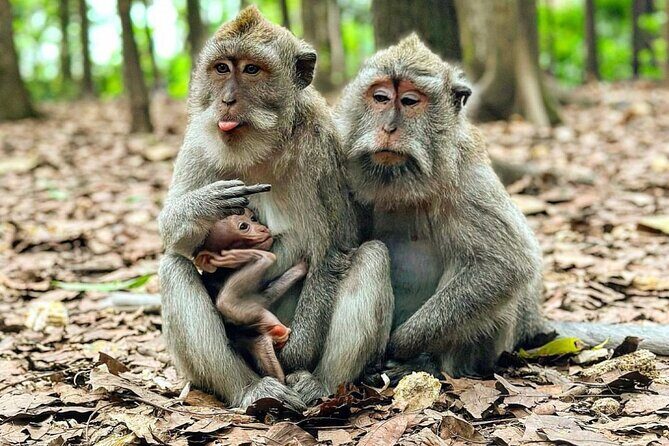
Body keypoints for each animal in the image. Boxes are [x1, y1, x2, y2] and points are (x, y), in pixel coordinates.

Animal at [193, 208, 308, 384]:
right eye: (243, 226)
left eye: (253, 218)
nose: (262, 228)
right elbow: (228, 303)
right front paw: (249, 256)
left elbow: (265, 296)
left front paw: (300, 269)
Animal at [335, 34, 669, 382]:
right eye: (381, 97)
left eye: (410, 101)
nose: (388, 128)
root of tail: (533, 322)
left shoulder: (466, 178)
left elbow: (506, 264)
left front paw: (401, 343)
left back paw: (430, 363)